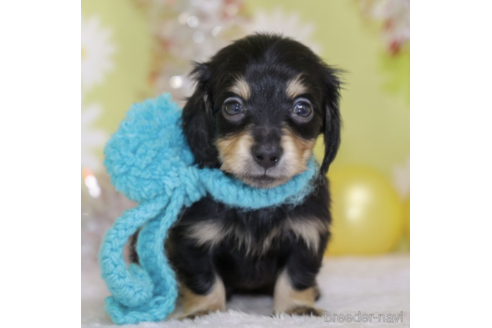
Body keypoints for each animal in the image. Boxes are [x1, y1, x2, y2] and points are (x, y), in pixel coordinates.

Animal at [135, 34, 342, 320]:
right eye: (233, 106)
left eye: (303, 108)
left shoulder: (307, 234)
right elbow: (203, 279)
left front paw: (296, 309)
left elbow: (297, 275)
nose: (266, 154)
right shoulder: (193, 239)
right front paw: (206, 312)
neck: (257, 203)